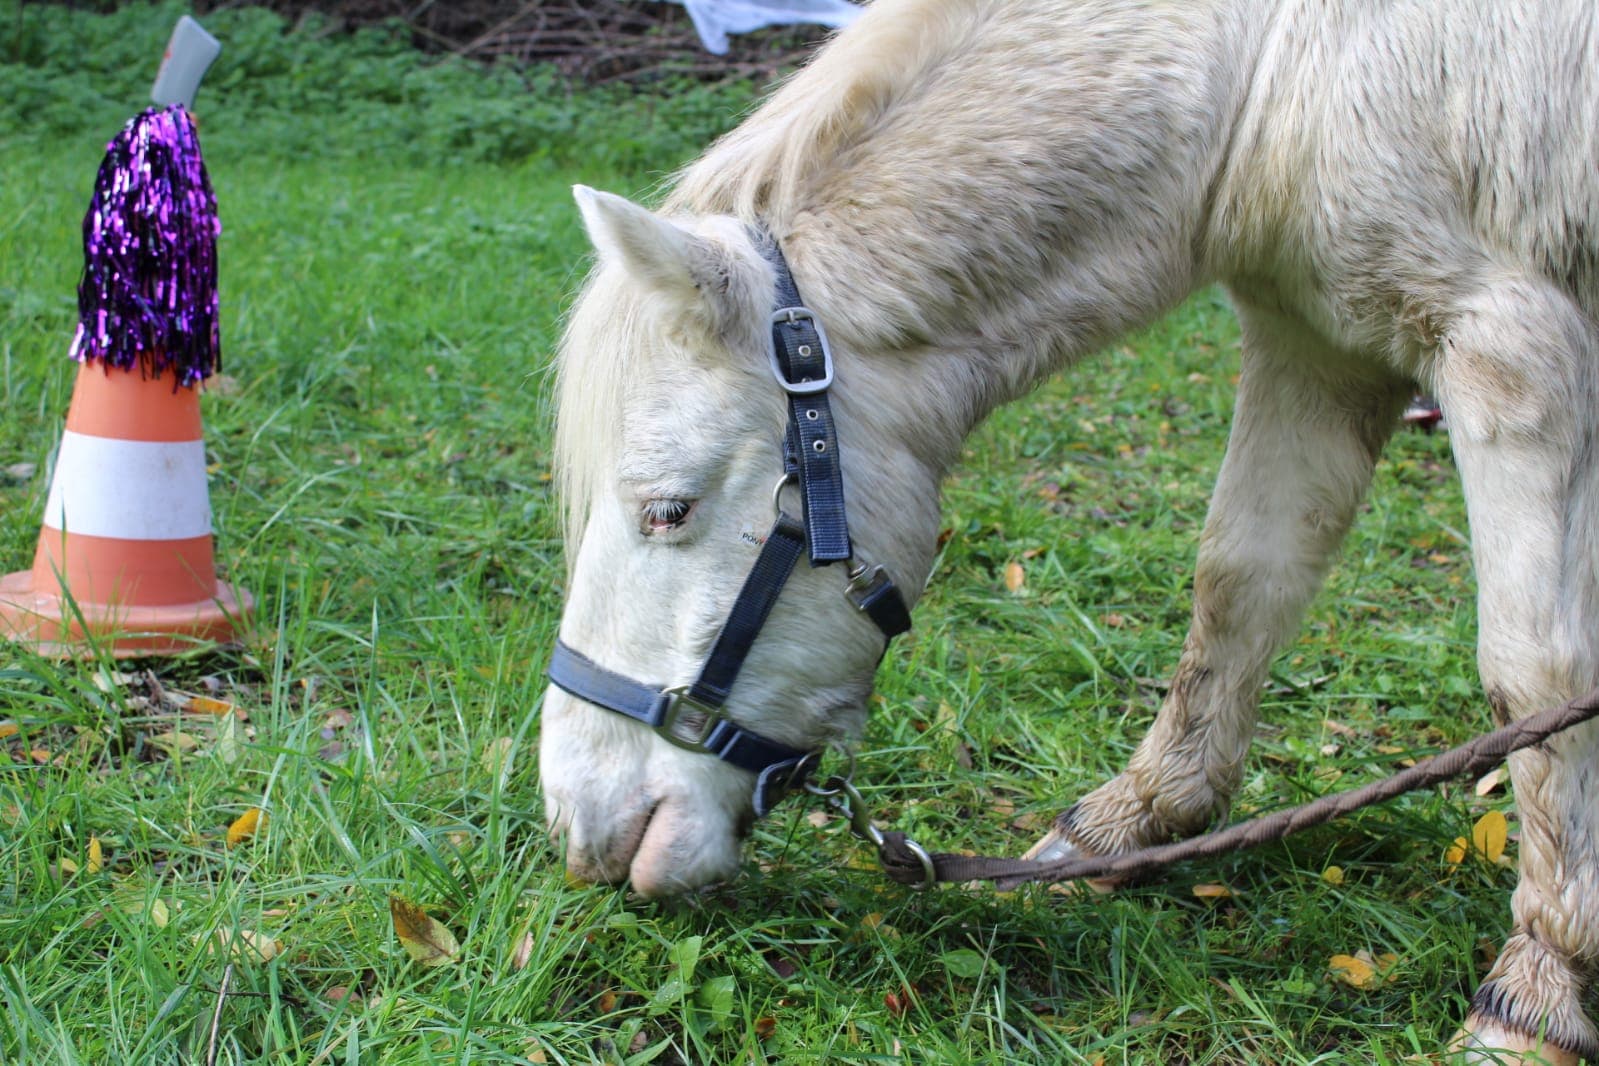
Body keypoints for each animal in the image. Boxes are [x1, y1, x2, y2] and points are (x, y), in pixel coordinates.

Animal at [543, 0, 1599, 1061]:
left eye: (667, 510)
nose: (577, 822)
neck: (1272, 71)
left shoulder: (1514, 349)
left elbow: (1537, 676)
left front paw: (1540, 984)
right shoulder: (1313, 342)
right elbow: (1240, 585)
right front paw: (1137, 818)